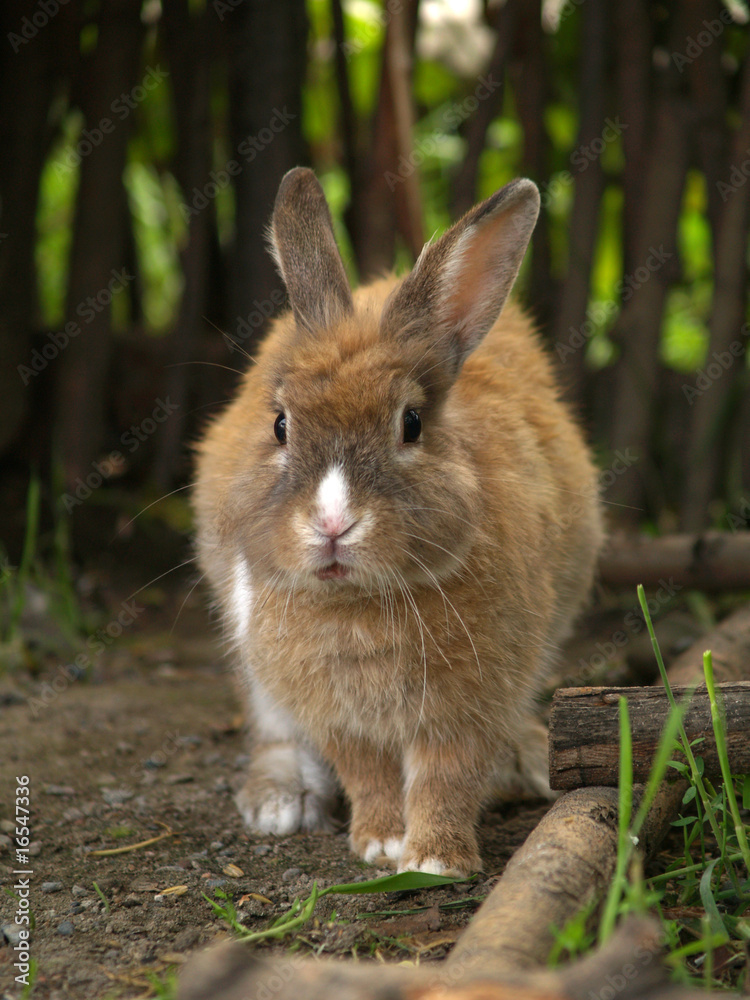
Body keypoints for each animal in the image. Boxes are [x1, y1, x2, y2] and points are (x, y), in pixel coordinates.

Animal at [193, 167, 604, 877]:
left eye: (410, 424)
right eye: (280, 425)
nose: (333, 523)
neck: (362, 604)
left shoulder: (469, 706)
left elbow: (446, 775)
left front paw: (435, 860)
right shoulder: (342, 720)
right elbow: (371, 775)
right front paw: (381, 845)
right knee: (272, 729)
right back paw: (279, 803)